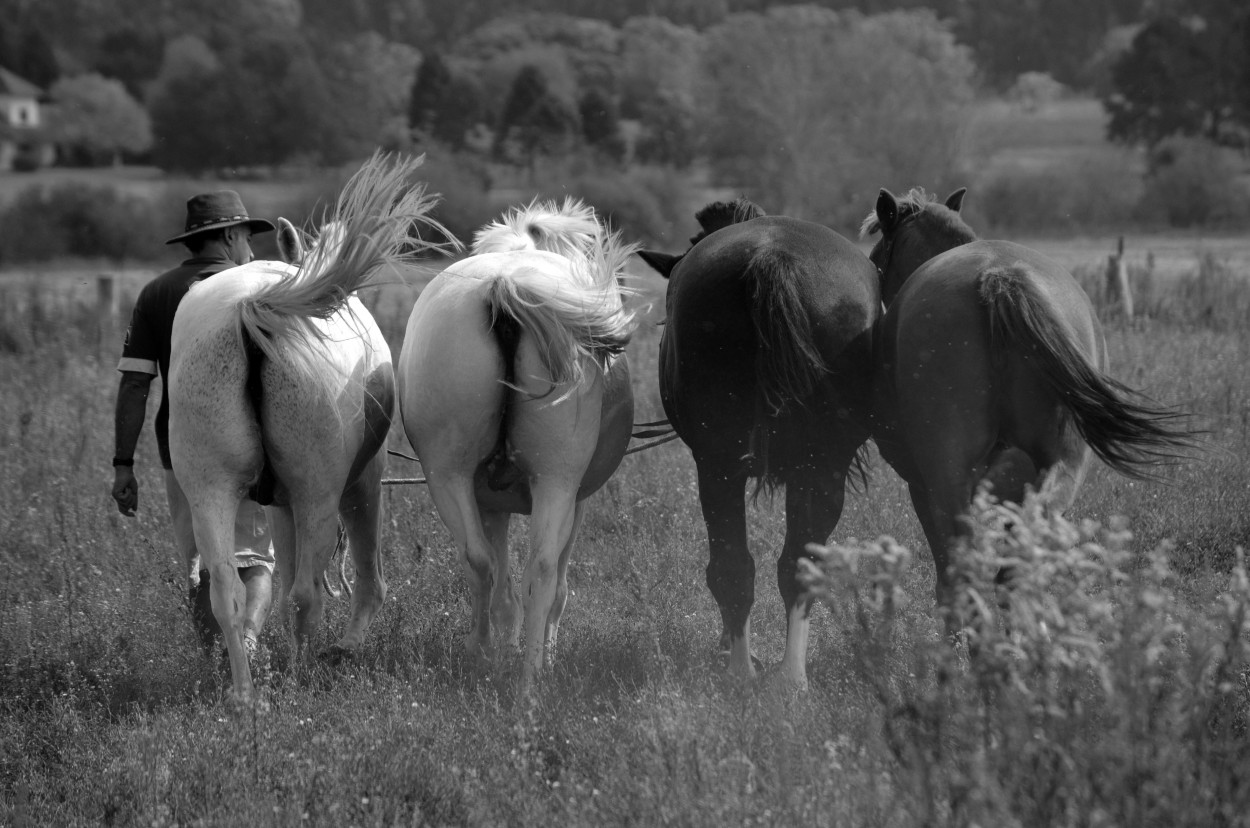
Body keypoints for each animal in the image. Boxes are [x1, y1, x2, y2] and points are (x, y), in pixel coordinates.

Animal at [168, 152, 447, 705]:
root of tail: (253, 310)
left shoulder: (278, 504)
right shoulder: (362, 481)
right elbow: (367, 578)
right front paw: (346, 648)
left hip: (210, 489)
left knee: (228, 592)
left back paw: (245, 693)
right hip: (318, 491)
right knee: (306, 594)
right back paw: (302, 677)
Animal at [395, 197, 640, 695]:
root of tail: (503, 284)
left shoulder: (491, 502)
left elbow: (498, 569)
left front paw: (506, 645)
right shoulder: (576, 500)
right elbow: (556, 584)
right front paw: (541, 647)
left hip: (447, 475)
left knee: (482, 562)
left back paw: (493, 659)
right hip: (556, 481)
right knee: (541, 572)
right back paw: (528, 674)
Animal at [860, 187, 1190, 615]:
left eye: (877, 258)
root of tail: (999, 277)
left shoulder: (922, 486)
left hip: (948, 477)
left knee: (963, 576)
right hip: (1060, 468)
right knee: (1017, 569)